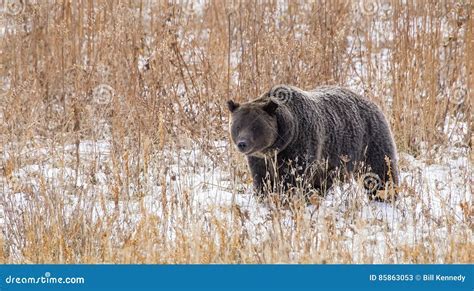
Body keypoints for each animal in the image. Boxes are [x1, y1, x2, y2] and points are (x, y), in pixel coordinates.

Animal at [228, 85, 398, 202]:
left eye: (255, 126)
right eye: (238, 126)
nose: (242, 144)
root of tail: (371, 102)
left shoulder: (300, 146)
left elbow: (293, 179)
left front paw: (287, 198)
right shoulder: (260, 159)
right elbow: (263, 179)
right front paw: (265, 197)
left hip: (369, 142)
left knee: (380, 172)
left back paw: (385, 197)